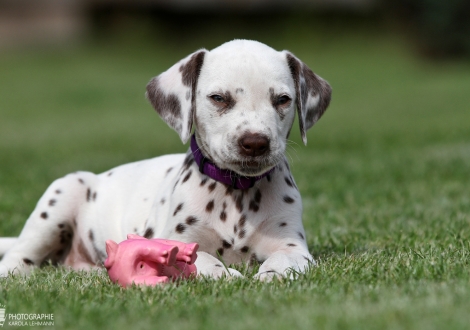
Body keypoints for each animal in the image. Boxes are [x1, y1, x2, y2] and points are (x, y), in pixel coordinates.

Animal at [0, 40, 330, 280]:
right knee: (18, 258)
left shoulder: (291, 243)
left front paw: (271, 275)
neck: (236, 193)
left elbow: (286, 259)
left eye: (282, 100)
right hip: (62, 196)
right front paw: (226, 275)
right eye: (218, 98)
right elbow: (203, 260)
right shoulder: (174, 241)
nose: (255, 142)